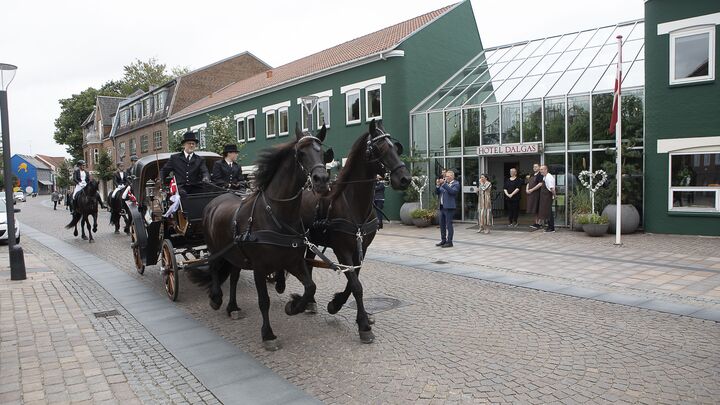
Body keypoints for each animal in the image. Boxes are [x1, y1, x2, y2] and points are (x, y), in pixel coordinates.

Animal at [187, 124, 331, 351]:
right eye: (300, 153)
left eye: (322, 152)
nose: (322, 181)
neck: (276, 215)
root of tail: (215, 200)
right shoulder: (260, 268)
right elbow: (264, 301)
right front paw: (268, 334)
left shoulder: (293, 261)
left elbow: (310, 287)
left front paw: (293, 306)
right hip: (215, 249)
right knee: (214, 269)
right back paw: (216, 298)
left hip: (235, 255)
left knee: (233, 277)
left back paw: (233, 307)